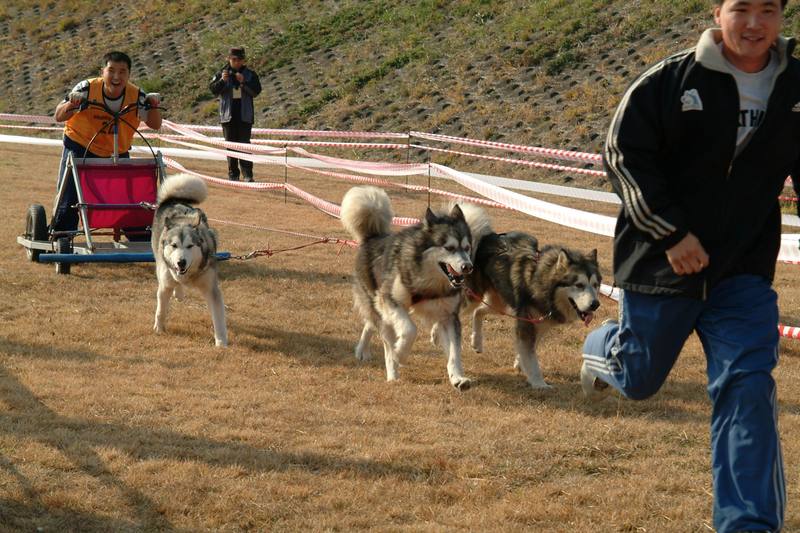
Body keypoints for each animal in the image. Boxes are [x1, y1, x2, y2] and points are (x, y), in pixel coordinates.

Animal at [151, 175, 227, 348]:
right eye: (174, 245)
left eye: (190, 246)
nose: (181, 262)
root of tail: (174, 199)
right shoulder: (165, 284)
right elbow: (160, 310)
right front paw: (159, 329)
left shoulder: (211, 288)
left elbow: (218, 318)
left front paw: (221, 342)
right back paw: (178, 292)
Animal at [340, 185, 476, 388]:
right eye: (449, 248)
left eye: (467, 248)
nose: (468, 267)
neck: (428, 281)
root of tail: (373, 237)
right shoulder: (389, 300)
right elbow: (410, 330)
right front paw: (400, 354)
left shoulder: (448, 316)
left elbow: (454, 352)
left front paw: (458, 378)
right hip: (378, 306)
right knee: (382, 335)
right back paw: (390, 371)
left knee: (371, 324)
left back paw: (364, 352)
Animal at [456, 204, 600, 386]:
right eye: (579, 285)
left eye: (595, 285)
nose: (595, 304)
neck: (542, 284)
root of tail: (485, 238)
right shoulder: (526, 324)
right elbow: (531, 357)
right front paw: (539, 383)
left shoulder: (538, 323)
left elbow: (529, 350)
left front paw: (520, 363)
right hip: (473, 296)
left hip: (498, 304)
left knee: (479, 311)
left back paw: (477, 342)